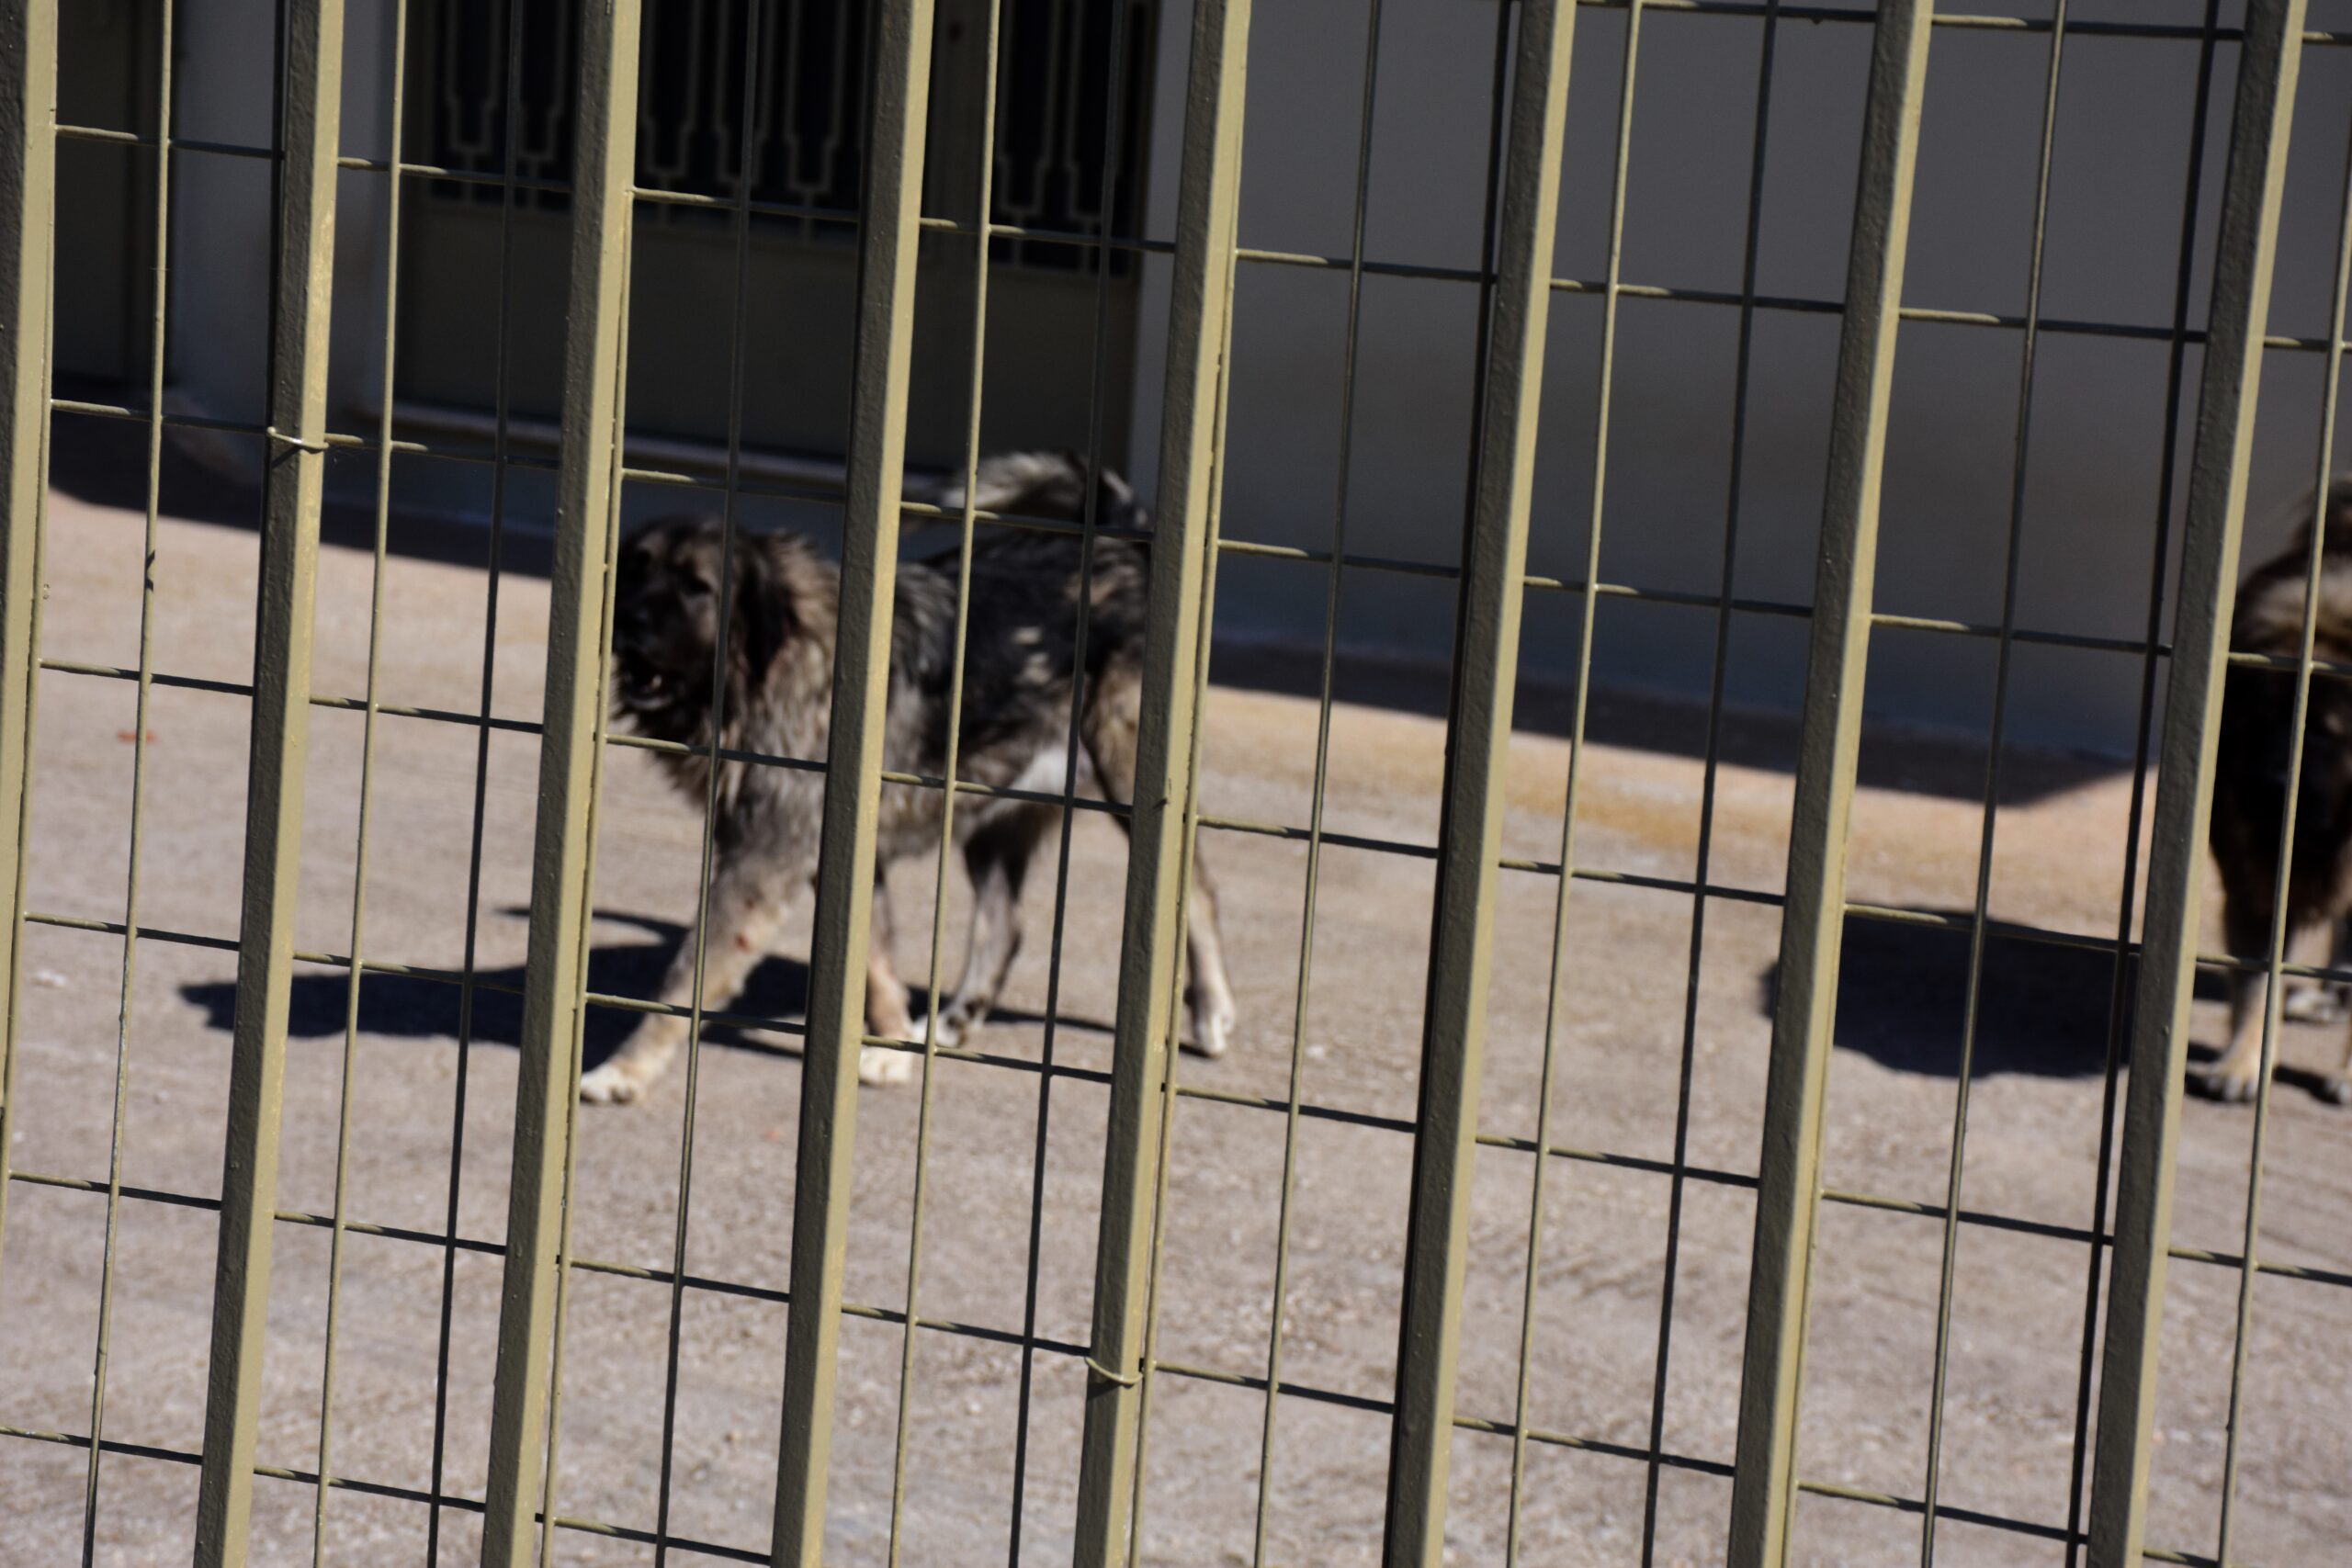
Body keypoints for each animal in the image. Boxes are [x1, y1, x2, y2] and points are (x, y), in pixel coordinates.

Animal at [577, 452, 1239, 1104]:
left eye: (697, 587)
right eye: (635, 571)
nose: (625, 621)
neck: (782, 662)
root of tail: (1125, 551)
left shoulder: (759, 863)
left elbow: (685, 976)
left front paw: (625, 1069)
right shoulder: (839, 855)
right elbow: (875, 959)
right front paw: (893, 1047)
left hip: (1121, 775)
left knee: (1201, 892)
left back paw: (1211, 1009)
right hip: (992, 815)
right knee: (1005, 929)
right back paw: (952, 1023)